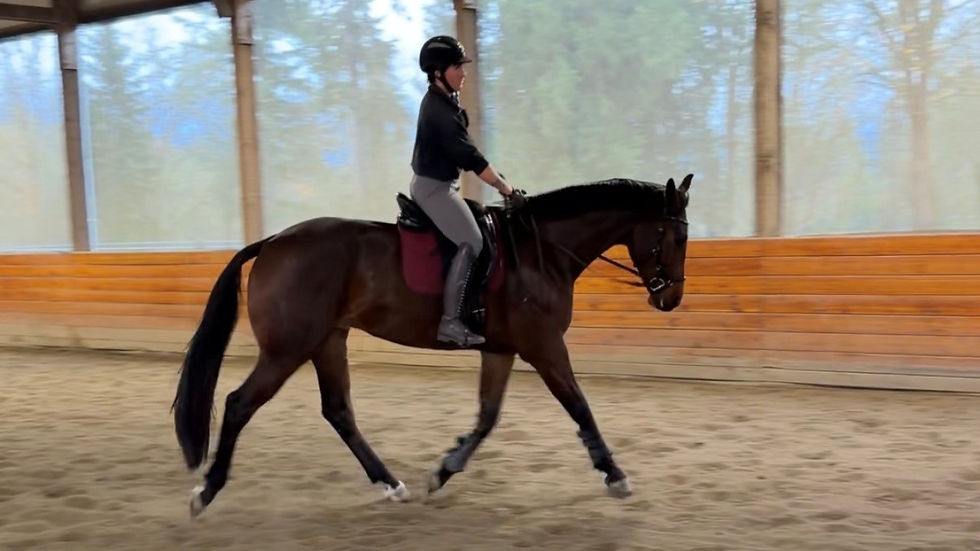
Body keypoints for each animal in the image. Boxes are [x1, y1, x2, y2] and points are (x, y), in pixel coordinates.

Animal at [172, 174, 693, 517]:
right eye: (674, 236)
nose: (670, 298)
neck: (541, 250)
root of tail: (273, 241)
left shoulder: (501, 349)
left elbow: (487, 418)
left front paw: (444, 469)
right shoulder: (543, 346)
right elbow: (580, 406)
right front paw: (615, 475)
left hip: (327, 341)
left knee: (338, 411)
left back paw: (391, 484)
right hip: (288, 349)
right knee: (240, 404)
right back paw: (206, 492)